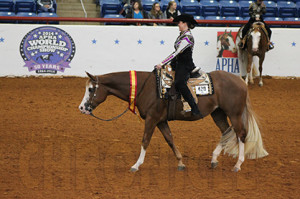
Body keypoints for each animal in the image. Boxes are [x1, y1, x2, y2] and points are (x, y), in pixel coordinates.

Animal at [78, 70, 268, 173]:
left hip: (234, 113)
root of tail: (241, 81)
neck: (145, 88)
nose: (81, 108)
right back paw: (214, 159)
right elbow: (169, 139)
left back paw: (237, 164)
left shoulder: (152, 119)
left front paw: (136, 165)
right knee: (226, 132)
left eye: (91, 89)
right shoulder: (161, 121)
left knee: (240, 134)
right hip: (218, 113)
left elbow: (145, 140)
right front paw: (181, 162)